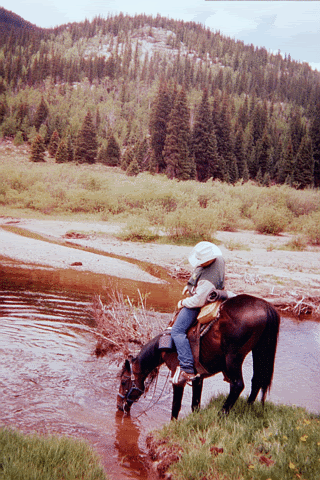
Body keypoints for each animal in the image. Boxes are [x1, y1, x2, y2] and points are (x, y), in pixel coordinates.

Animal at [117, 292, 280, 420]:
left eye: (124, 381)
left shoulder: (178, 378)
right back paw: (247, 407)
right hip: (259, 351)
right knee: (257, 380)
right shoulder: (198, 378)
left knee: (237, 385)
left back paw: (221, 415)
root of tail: (265, 306)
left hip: (233, 357)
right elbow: (195, 405)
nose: (119, 405)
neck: (163, 346)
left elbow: (176, 407)